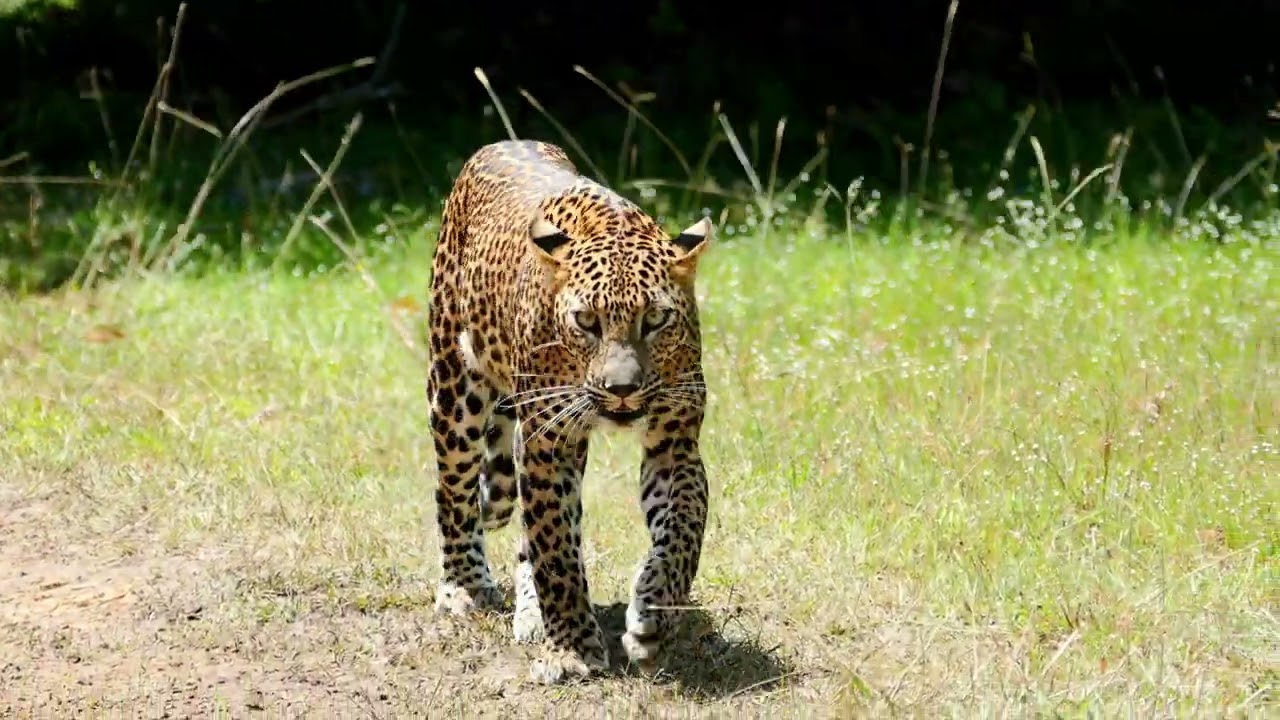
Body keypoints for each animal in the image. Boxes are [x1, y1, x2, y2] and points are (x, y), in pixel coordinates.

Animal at [425, 139, 714, 684]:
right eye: (586, 321)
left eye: (656, 319)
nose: (622, 389)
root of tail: (502, 143)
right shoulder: (546, 440)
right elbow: (555, 547)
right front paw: (572, 650)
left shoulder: (675, 442)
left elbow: (685, 528)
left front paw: (653, 615)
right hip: (453, 386)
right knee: (455, 491)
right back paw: (464, 587)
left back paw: (530, 613)